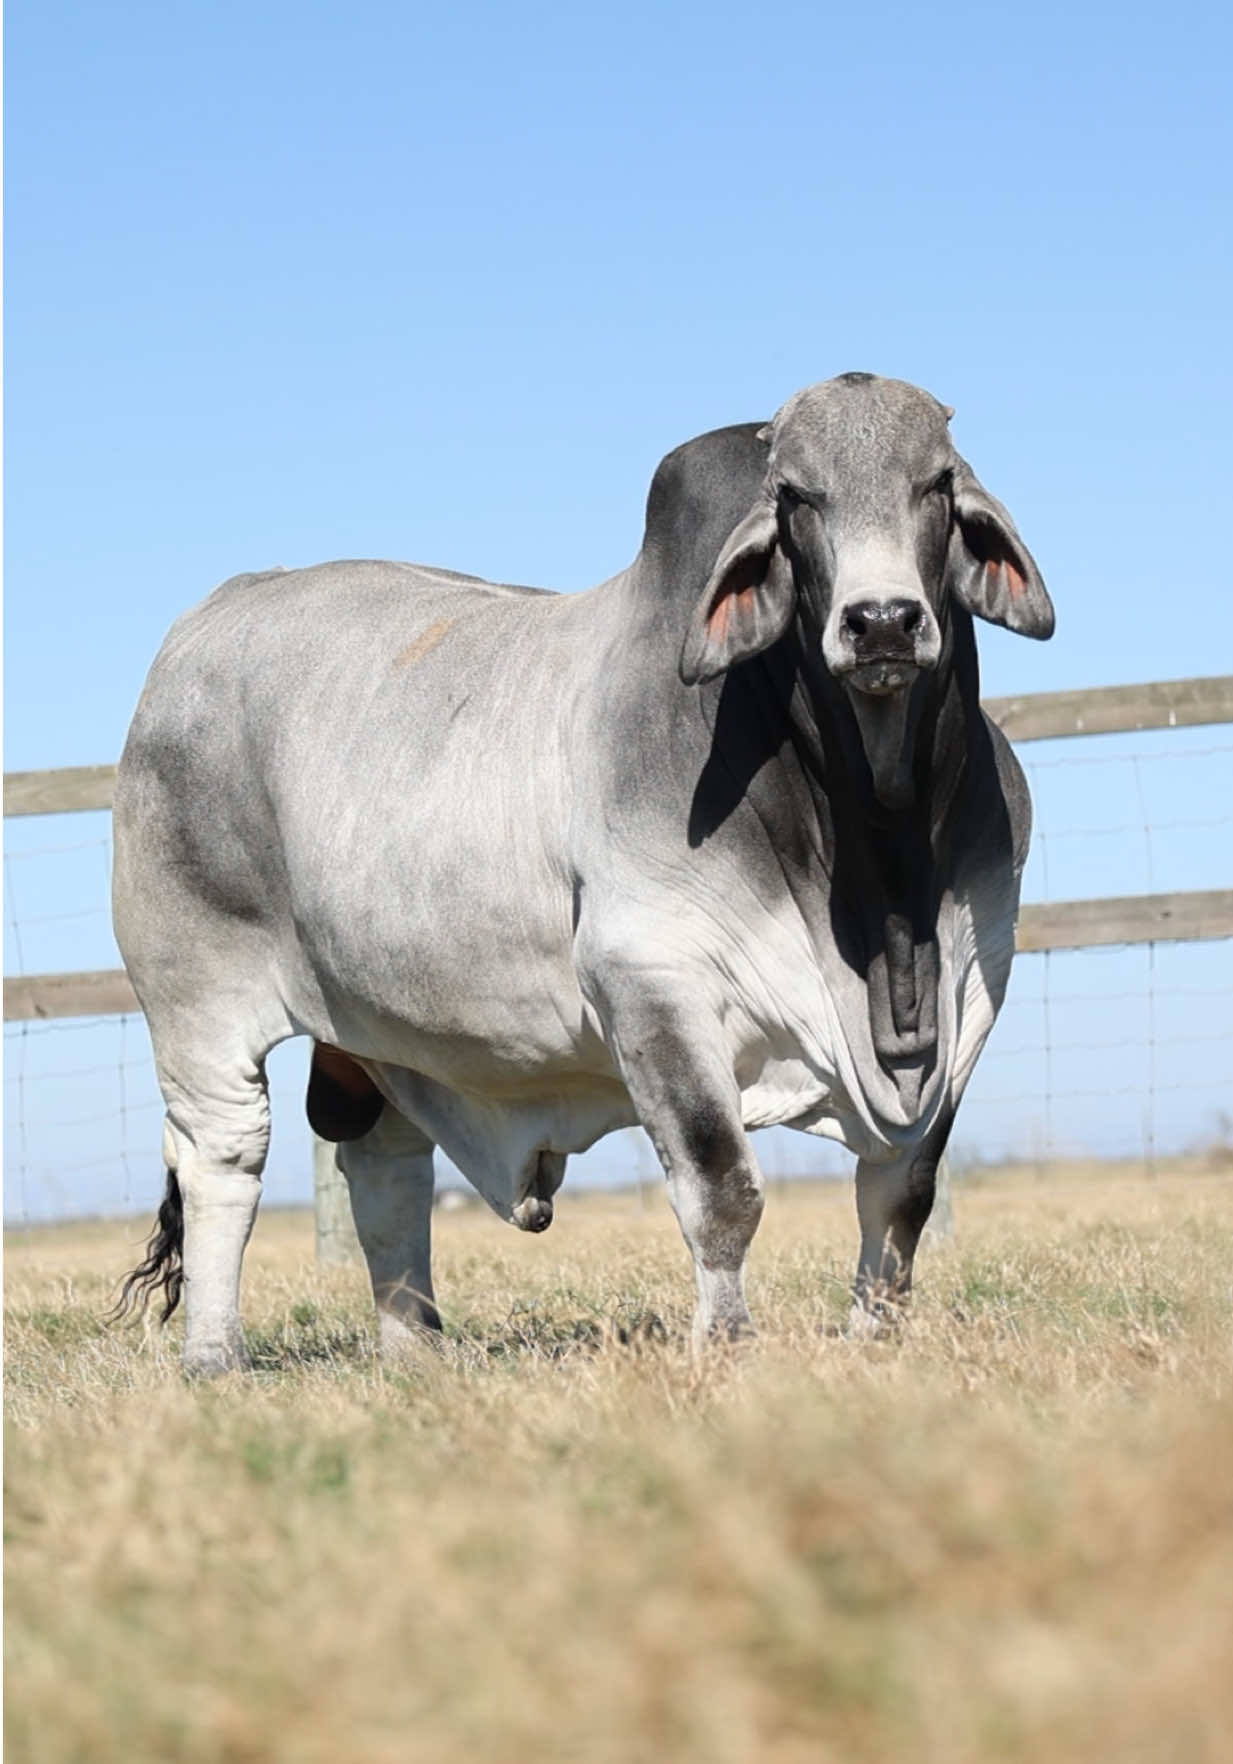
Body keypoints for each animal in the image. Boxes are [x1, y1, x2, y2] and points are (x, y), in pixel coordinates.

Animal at [112, 373, 1053, 1376]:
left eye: (937, 484)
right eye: (796, 496)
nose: (880, 622)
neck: (878, 864)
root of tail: (211, 616)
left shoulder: (971, 987)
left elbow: (900, 1196)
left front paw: (874, 1341)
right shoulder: (651, 980)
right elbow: (722, 1188)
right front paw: (725, 1349)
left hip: (386, 1028)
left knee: (386, 1165)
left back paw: (415, 1351)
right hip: (197, 1004)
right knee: (223, 1163)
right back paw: (215, 1357)